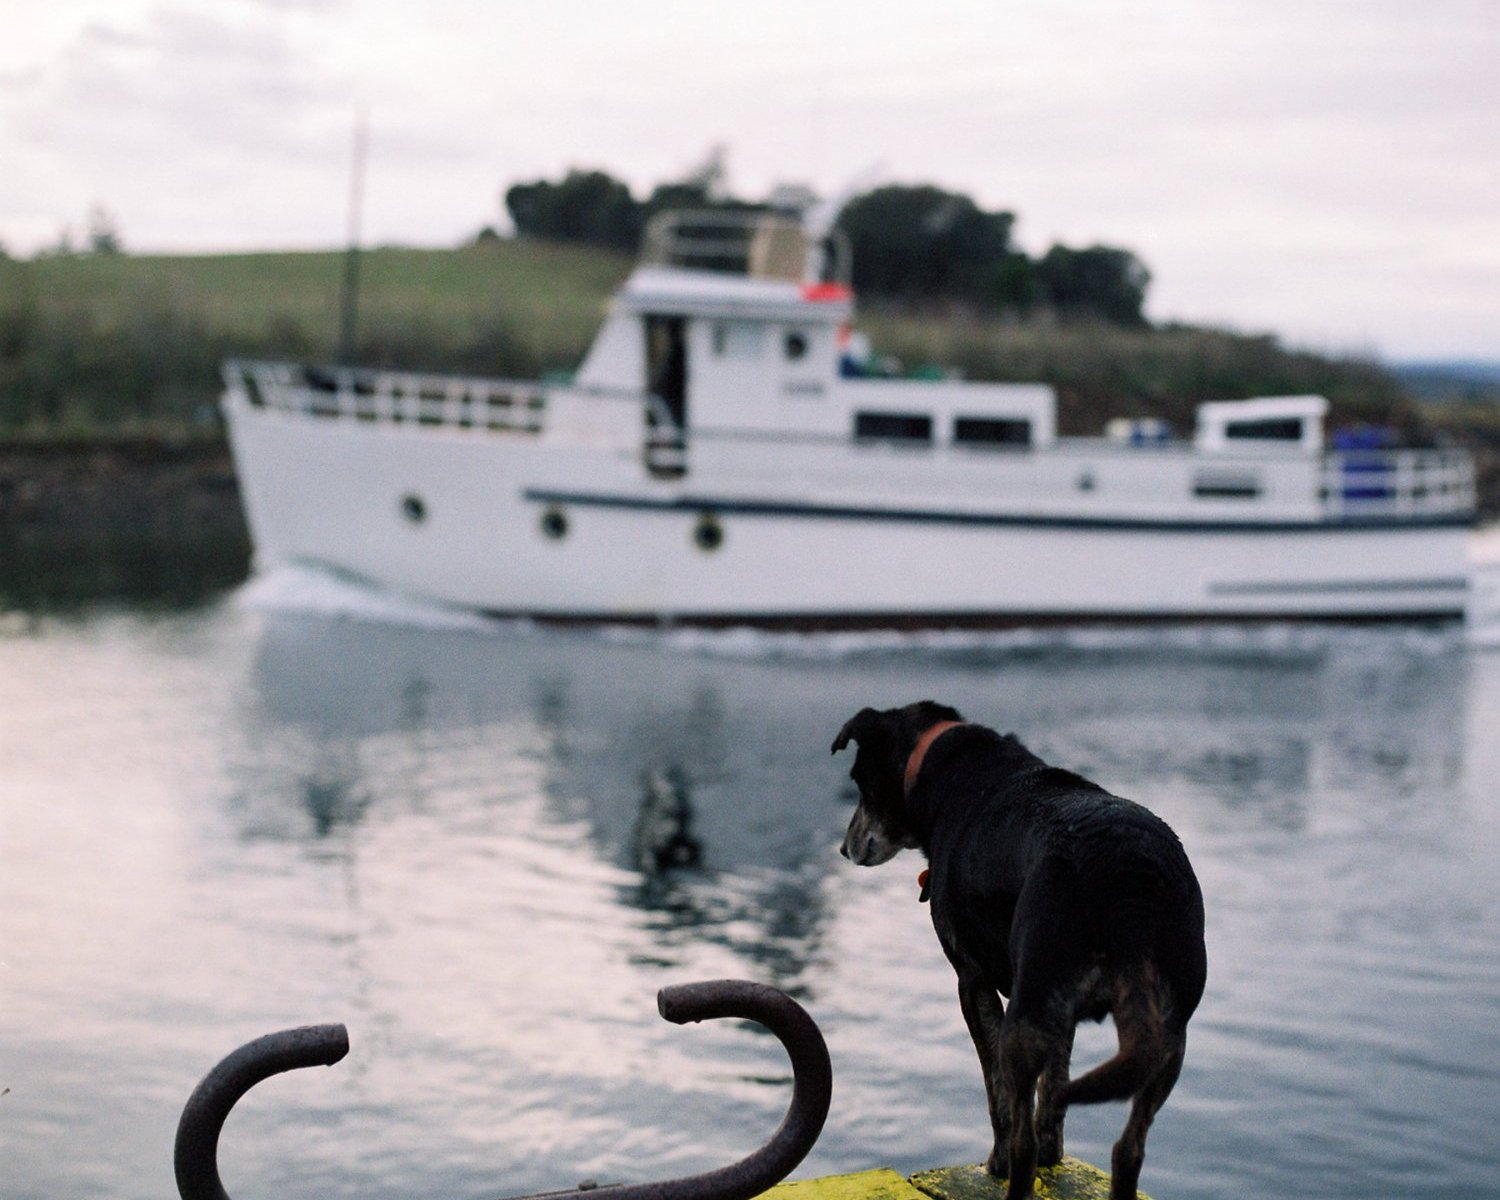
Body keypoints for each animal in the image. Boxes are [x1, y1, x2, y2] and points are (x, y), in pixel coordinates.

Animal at [834, 702, 1206, 1200]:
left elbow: (1000, 1099)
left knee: (1022, 1141)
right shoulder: (1059, 1011)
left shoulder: (972, 982)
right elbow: (1054, 1089)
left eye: (859, 782)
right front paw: (1054, 1151)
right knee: (1128, 1150)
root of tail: (1128, 879)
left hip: (1025, 1018)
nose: (844, 848)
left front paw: (996, 1164)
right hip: (1165, 1032)